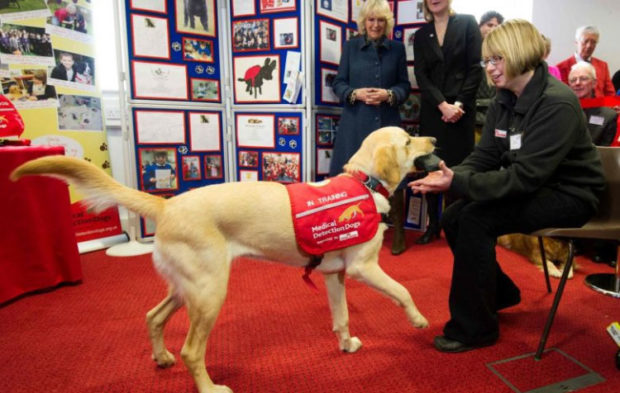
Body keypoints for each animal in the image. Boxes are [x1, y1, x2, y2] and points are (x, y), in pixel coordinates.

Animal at [10, 126, 436, 392]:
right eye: (409, 140)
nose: (433, 137)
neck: (364, 182)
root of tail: (166, 205)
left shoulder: (335, 276)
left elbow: (342, 318)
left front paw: (346, 346)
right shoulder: (365, 269)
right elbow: (402, 291)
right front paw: (418, 320)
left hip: (188, 289)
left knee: (153, 317)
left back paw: (161, 357)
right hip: (210, 292)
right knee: (192, 351)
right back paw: (210, 387)